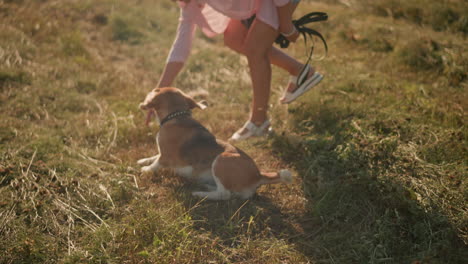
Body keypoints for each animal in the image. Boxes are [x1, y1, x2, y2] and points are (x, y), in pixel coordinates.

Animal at [136, 87, 292, 200]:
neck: (177, 116)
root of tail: (258, 175)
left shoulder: (166, 157)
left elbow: (156, 163)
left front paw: (145, 170)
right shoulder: (161, 152)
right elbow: (154, 156)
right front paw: (142, 160)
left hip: (221, 161)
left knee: (224, 194)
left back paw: (199, 194)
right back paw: (206, 186)